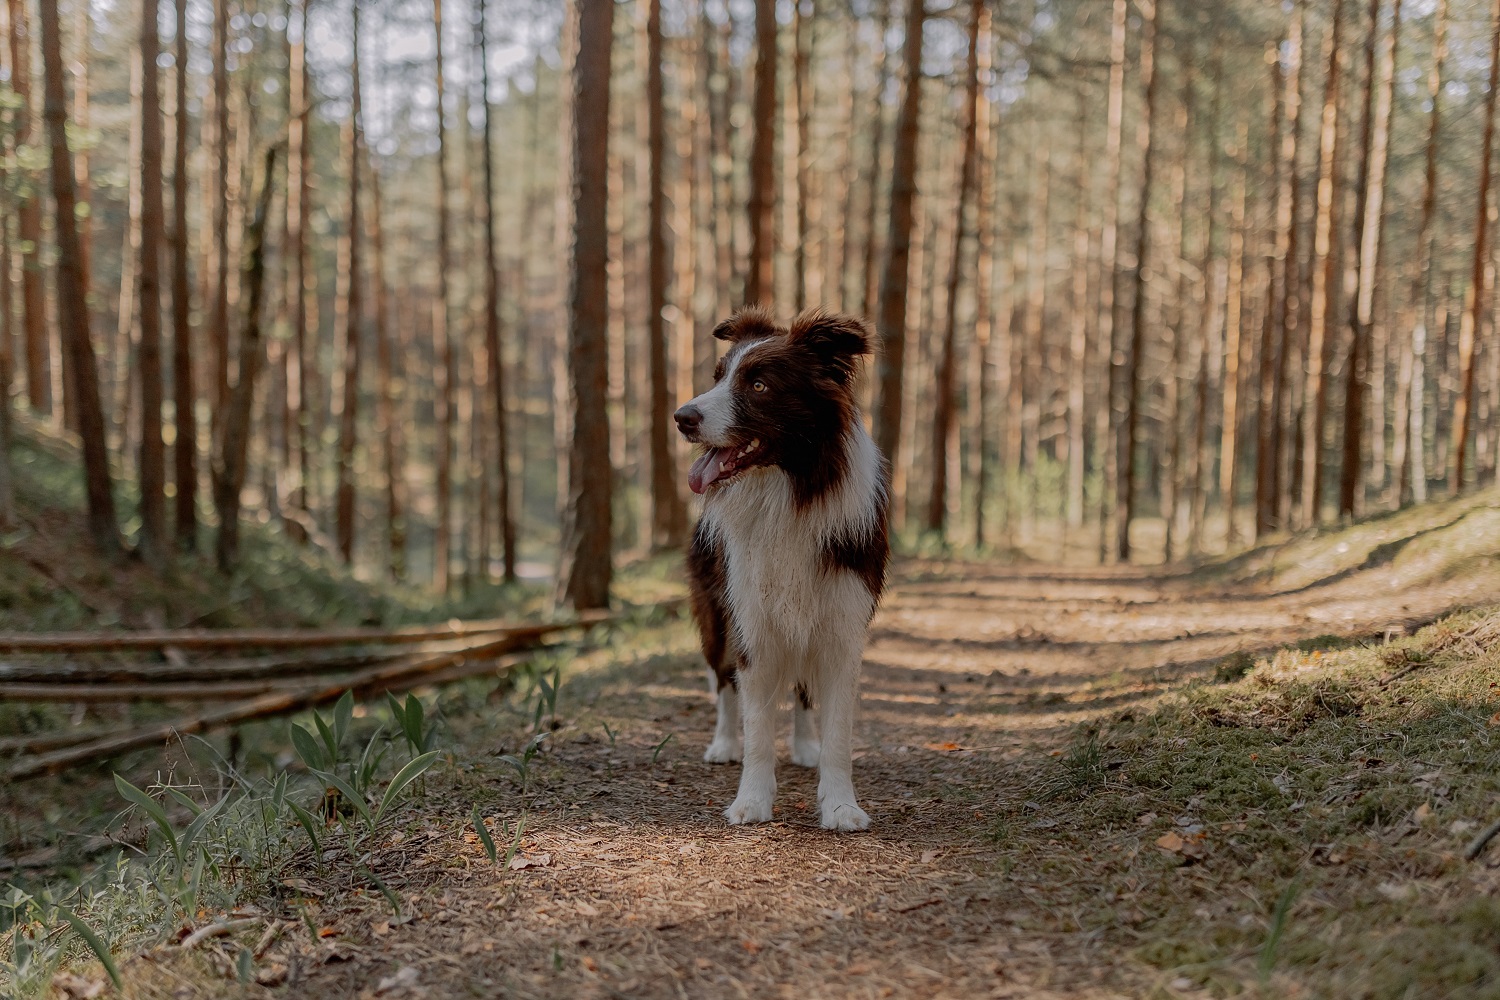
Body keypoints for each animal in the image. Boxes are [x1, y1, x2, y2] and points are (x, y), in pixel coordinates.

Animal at [678, 308, 888, 833]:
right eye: (717, 377)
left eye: (758, 385)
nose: (682, 417)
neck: (789, 491)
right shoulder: (751, 621)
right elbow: (755, 724)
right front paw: (751, 801)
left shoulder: (842, 624)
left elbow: (838, 731)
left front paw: (840, 805)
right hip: (716, 614)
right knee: (723, 679)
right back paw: (723, 743)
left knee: (803, 691)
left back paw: (804, 745)